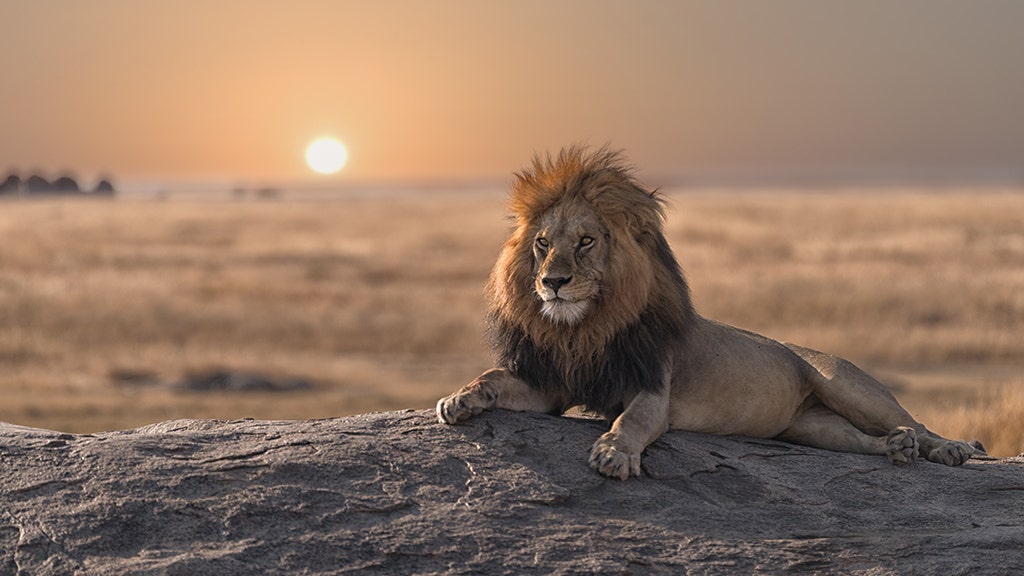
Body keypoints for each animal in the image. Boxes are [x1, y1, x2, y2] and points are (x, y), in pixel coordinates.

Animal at [434, 145, 974, 477]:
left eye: (586, 242)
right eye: (543, 244)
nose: (552, 282)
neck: (585, 328)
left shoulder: (653, 390)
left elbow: (630, 422)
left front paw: (613, 453)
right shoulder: (553, 384)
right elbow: (494, 377)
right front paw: (460, 398)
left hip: (848, 386)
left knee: (915, 422)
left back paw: (949, 448)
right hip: (812, 427)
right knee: (863, 441)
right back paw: (895, 449)